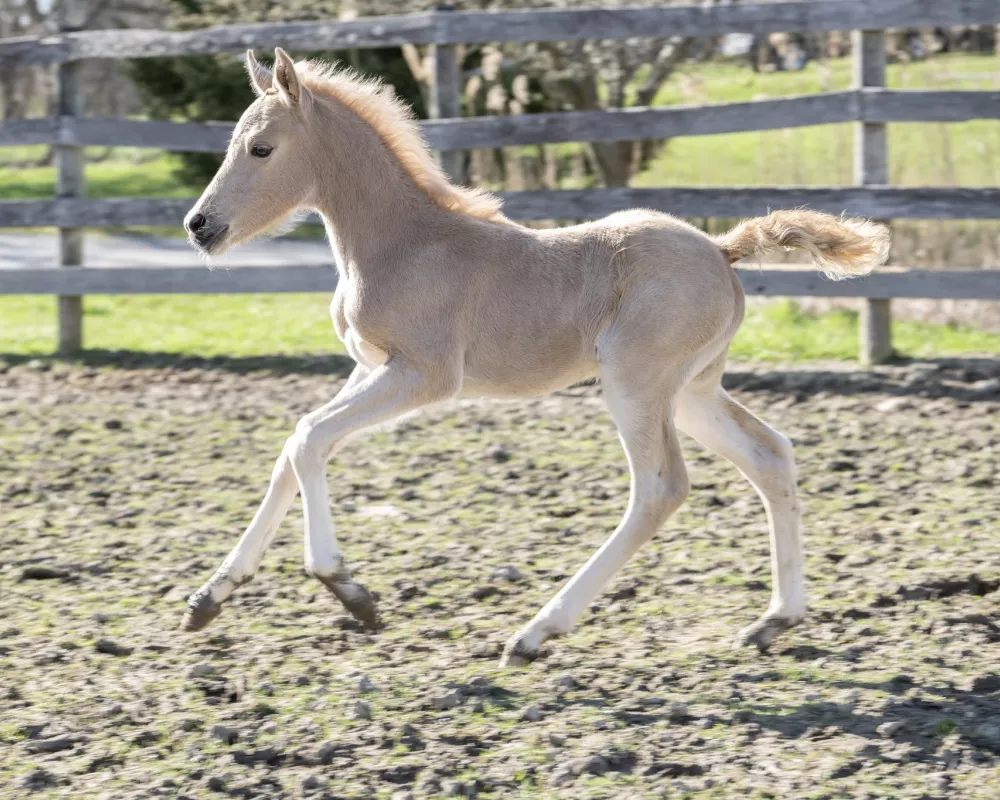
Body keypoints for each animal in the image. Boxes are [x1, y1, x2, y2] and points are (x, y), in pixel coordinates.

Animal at [182, 47, 892, 664]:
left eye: (261, 148)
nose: (199, 226)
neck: (405, 242)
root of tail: (722, 250)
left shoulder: (425, 374)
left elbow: (307, 438)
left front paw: (348, 589)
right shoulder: (369, 365)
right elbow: (293, 450)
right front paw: (211, 596)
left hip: (636, 382)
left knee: (660, 487)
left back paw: (535, 633)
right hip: (692, 390)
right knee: (770, 455)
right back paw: (776, 619)